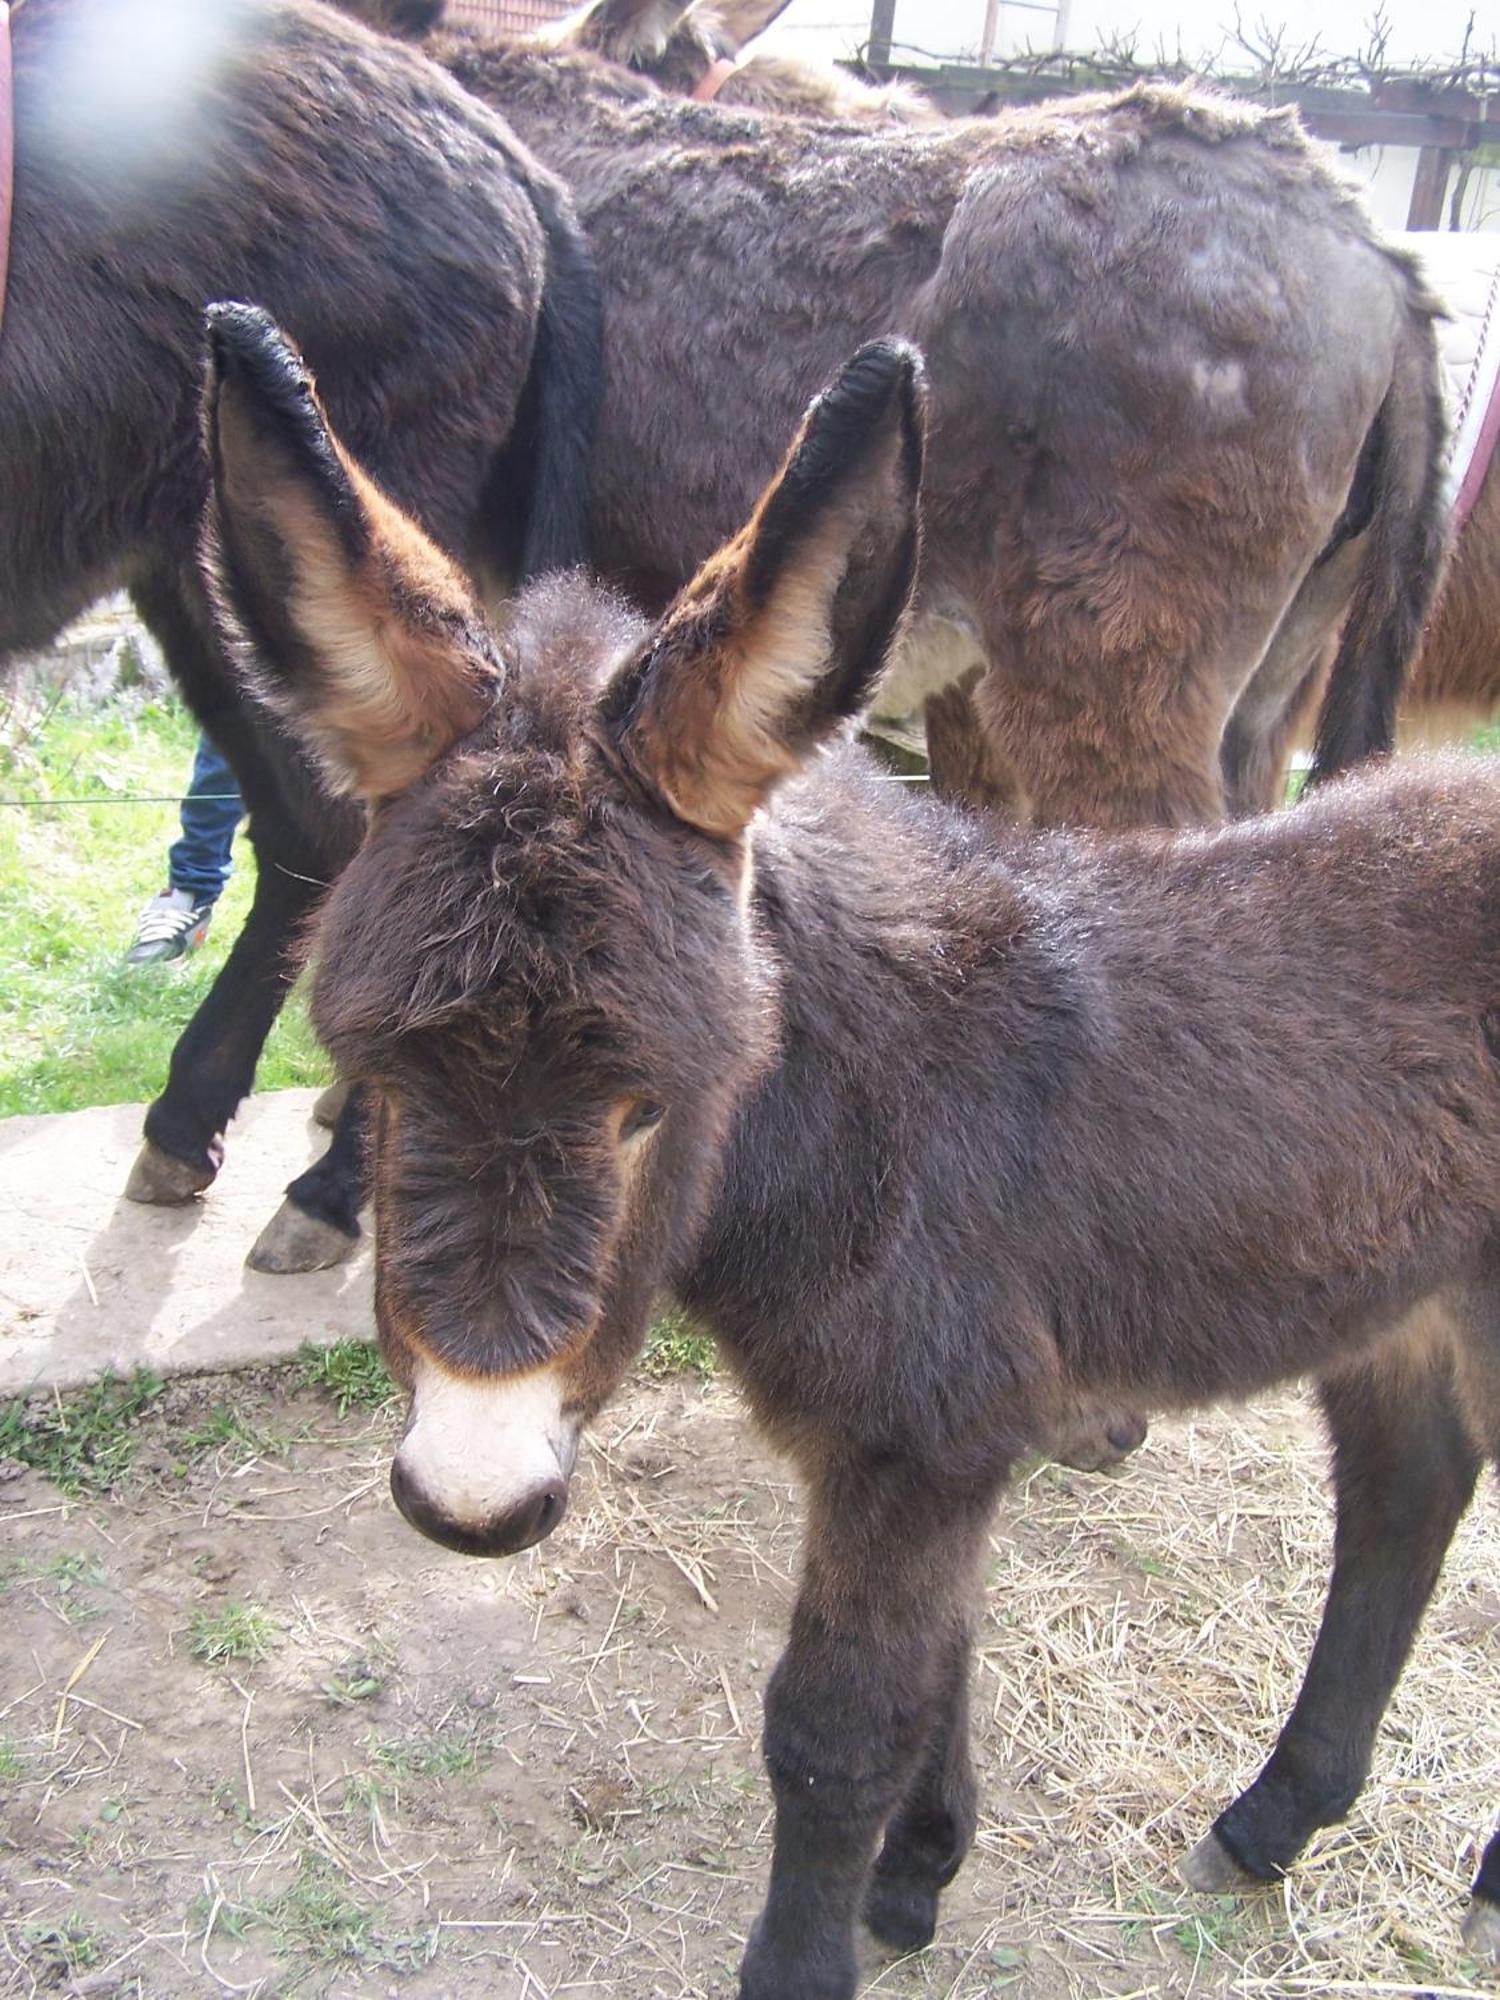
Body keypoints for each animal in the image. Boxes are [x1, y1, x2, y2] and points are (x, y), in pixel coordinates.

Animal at [206, 316, 1500, 2000]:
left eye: (654, 1104)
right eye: (373, 1074)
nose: (470, 1496)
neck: (871, 1106)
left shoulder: (919, 1443)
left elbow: (834, 1728)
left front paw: (815, 1948)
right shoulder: (935, 1445)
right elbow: (935, 1670)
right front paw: (918, 1874)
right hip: (1400, 1295)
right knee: (1412, 1483)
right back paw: (1276, 1816)